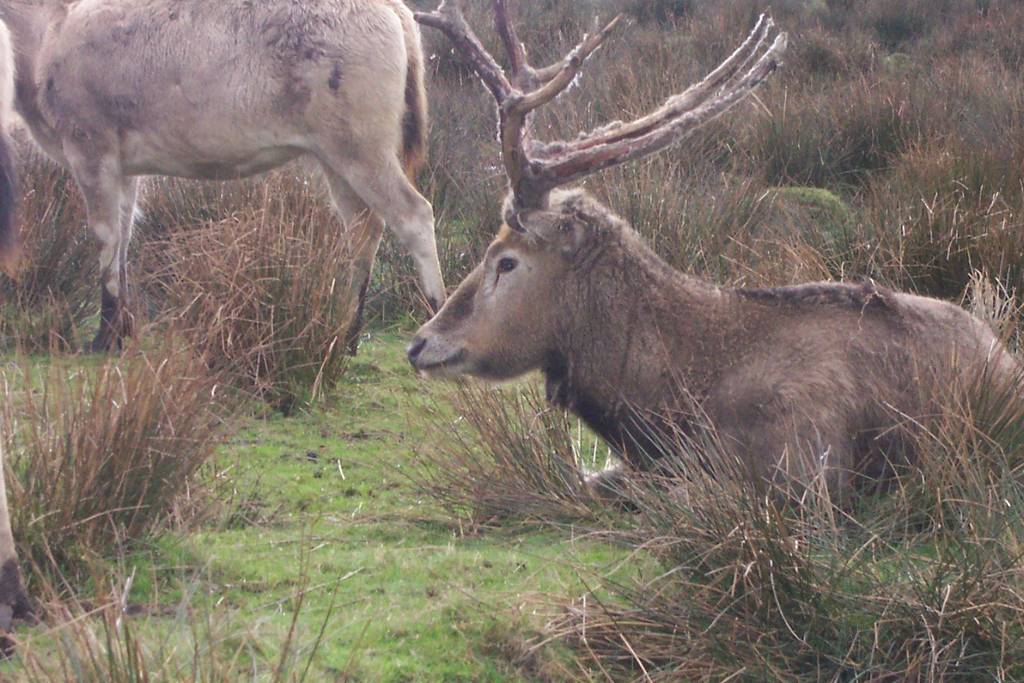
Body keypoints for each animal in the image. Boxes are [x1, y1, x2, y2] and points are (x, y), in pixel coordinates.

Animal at [0, 0, 446, 352]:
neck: (51, 30)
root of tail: (391, 7)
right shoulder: (123, 169)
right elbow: (123, 240)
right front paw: (122, 329)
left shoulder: (91, 152)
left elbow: (105, 238)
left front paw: (106, 336)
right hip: (338, 159)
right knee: (362, 230)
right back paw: (348, 335)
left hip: (362, 150)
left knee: (413, 216)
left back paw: (437, 311)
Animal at [408, 1, 1021, 501]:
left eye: (506, 260)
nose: (420, 343)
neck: (671, 399)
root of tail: (1004, 357)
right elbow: (589, 480)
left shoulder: (807, 471)